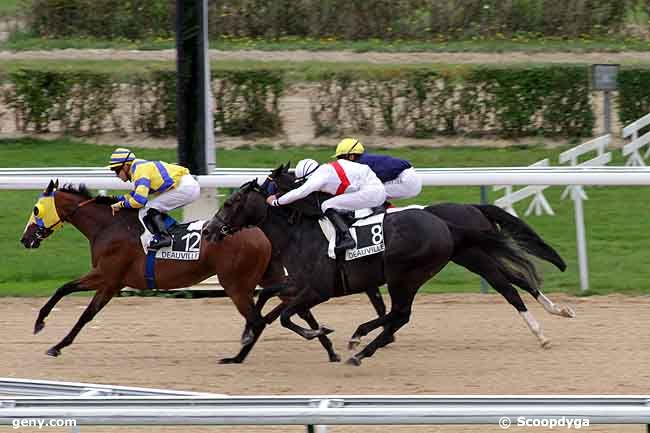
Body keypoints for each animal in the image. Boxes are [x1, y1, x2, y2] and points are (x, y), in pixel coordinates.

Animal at [20, 179, 272, 362]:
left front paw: (42, 327)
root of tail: (261, 235)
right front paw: (54, 341)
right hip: (247, 283)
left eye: (36, 210)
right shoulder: (113, 283)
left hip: (235, 285)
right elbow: (81, 307)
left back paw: (236, 358)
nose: (25, 239)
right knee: (260, 317)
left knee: (257, 321)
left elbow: (70, 295)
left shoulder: (107, 276)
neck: (109, 226)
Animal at [205, 177, 540, 362]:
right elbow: (268, 297)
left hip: (405, 275)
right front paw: (249, 331)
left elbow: (288, 316)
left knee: (401, 314)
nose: (209, 230)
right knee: (397, 314)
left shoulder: (319, 290)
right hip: (412, 275)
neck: (299, 234)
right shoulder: (299, 283)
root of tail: (446, 226)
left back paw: (360, 346)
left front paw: (319, 331)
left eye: (232, 202)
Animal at [264, 164, 572, 350]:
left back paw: (541, 331)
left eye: (270, 184)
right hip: (475, 255)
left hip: (474, 257)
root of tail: (473, 208)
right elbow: (380, 304)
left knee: (507, 286)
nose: (268, 198)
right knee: (517, 279)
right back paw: (556, 313)